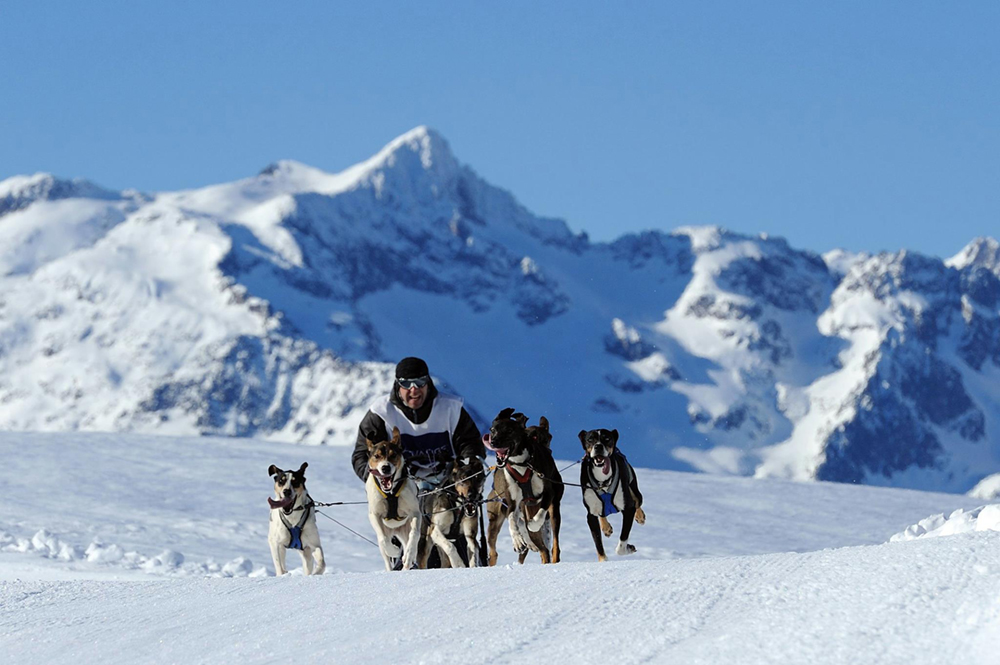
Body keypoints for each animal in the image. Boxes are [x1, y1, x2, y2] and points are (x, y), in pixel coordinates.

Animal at [484, 408, 564, 564]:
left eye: (509, 430)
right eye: (492, 430)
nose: (494, 442)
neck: (521, 463)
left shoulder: (548, 494)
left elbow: (538, 517)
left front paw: (532, 525)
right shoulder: (513, 502)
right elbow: (512, 521)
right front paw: (517, 541)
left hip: (554, 510)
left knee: (553, 546)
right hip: (494, 521)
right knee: (494, 551)